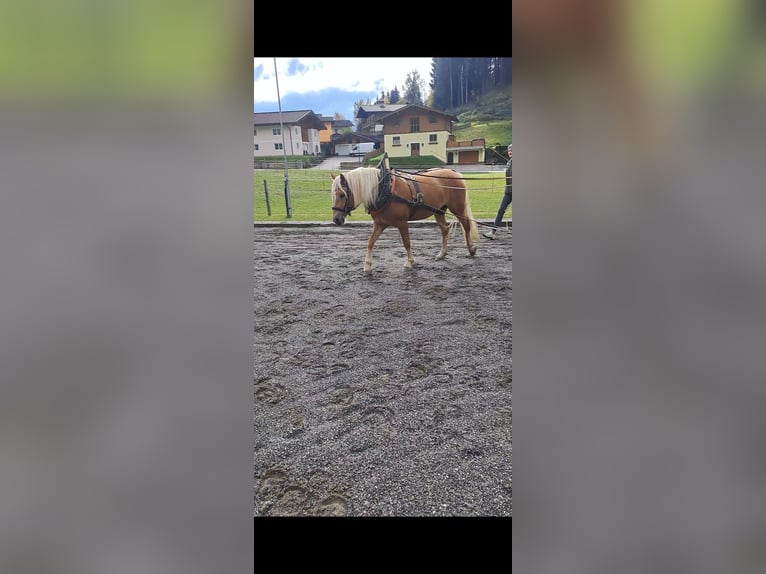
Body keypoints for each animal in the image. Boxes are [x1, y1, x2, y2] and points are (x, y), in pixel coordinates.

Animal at [332, 166, 480, 274]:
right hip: (439, 211)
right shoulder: (380, 223)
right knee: (444, 230)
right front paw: (367, 265)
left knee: (466, 225)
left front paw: (409, 262)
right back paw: (442, 254)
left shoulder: (402, 223)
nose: (336, 219)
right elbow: (370, 242)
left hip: (457, 208)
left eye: (342, 195)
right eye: (333, 195)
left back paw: (471, 249)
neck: (385, 189)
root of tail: (455, 173)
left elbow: (406, 242)